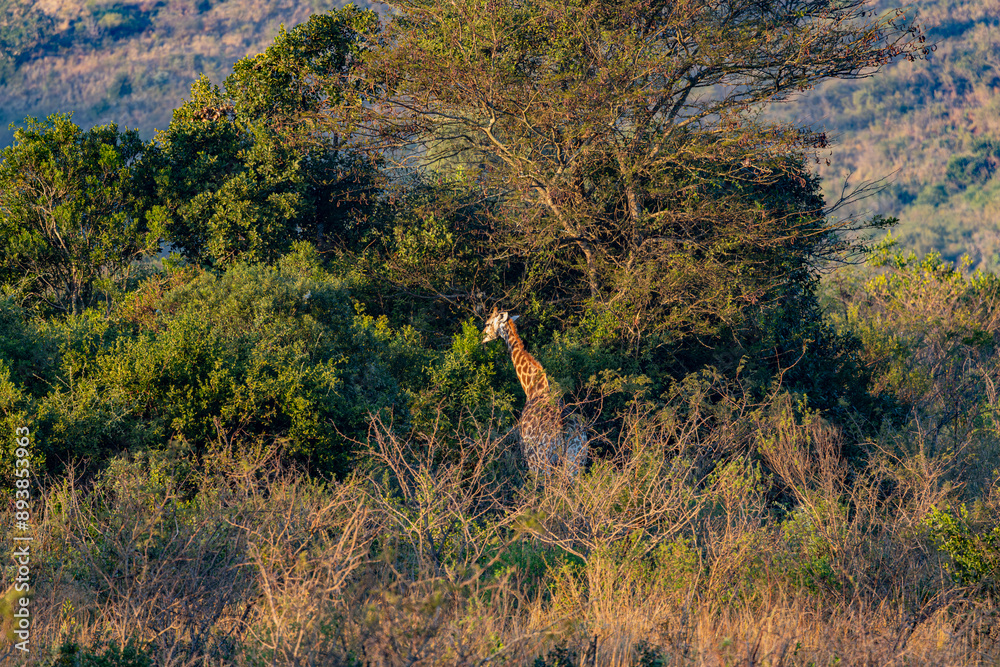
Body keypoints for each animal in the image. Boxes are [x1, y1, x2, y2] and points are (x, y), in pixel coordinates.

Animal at [482, 308, 584, 474]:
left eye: (488, 323)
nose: (482, 337)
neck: (532, 389)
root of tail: (565, 428)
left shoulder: (524, 449)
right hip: (576, 460)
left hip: (540, 461)